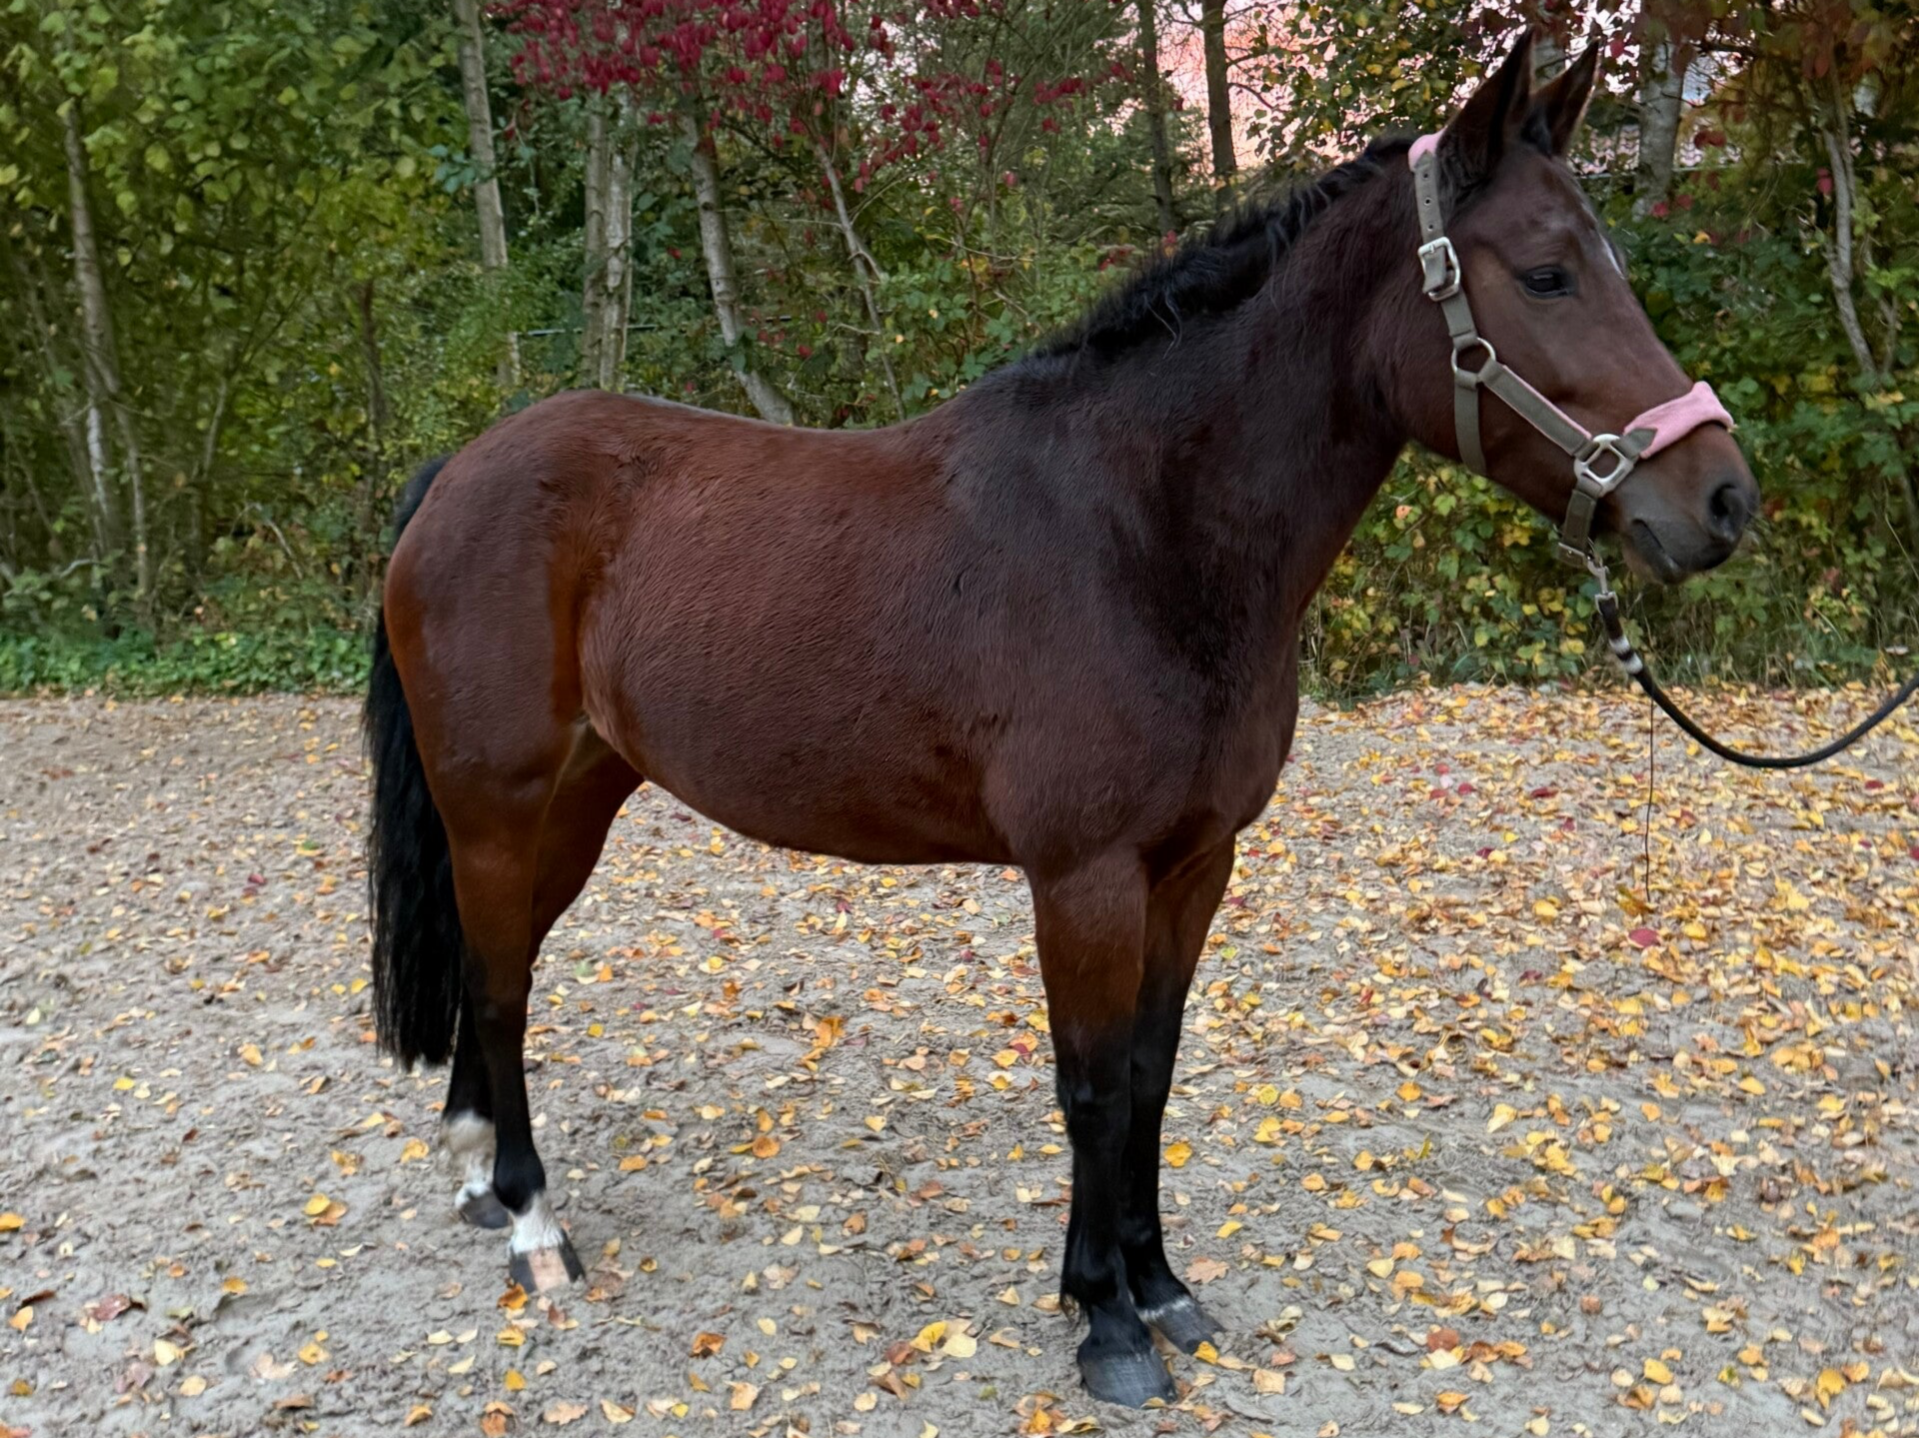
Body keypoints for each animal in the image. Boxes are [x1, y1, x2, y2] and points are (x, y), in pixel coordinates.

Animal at [364, 34, 1756, 1406]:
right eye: (1548, 273)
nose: (1725, 499)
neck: (1140, 533)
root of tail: (458, 474)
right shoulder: (1083, 877)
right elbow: (1088, 1085)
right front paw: (1106, 1322)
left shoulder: (1195, 864)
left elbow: (1149, 1071)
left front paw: (1162, 1285)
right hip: (497, 804)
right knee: (501, 985)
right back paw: (535, 1225)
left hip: (577, 800)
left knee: (499, 966)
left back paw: (481, 1176)